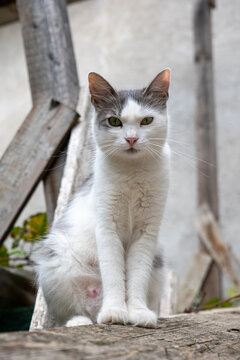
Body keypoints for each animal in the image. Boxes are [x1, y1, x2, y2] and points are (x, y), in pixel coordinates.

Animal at [36, 69, 170, 330]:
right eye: (114, 121)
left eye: (146, 121)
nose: (131, 139)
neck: (133, 173)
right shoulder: (107, 227)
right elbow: (114, 275)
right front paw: (115, 312)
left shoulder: (147, 233)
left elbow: (137, 276)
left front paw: (138, 313)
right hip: (55, 262)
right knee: (69, 315)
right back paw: (81, 321)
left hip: (158, 268)